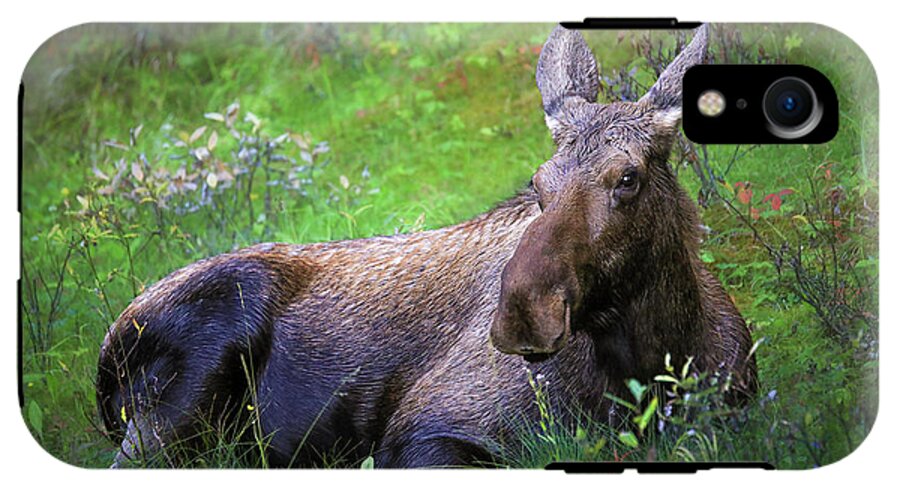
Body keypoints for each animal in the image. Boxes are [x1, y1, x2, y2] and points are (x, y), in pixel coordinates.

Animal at [98, 25, 756, 470]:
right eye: (538, 182)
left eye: (628, 177)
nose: (523, 312)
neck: (656, 361)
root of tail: (105, 360)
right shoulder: (424, 431)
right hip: (180, 393)